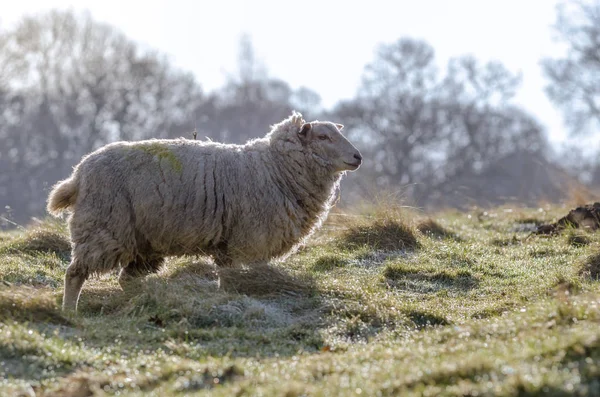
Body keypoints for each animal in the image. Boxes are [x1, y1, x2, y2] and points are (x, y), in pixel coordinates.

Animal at [47, 110, 360, 310]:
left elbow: (226, 275)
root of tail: (79, 173)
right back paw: (69, 312)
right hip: (104, 227)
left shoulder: (228, 243)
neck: (275, 167)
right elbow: (232, 277)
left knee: (126, 279)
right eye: (323, 137)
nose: (358, 157)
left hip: (143, 241)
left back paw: (146, 298)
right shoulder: (244, 239)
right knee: (74, 274)